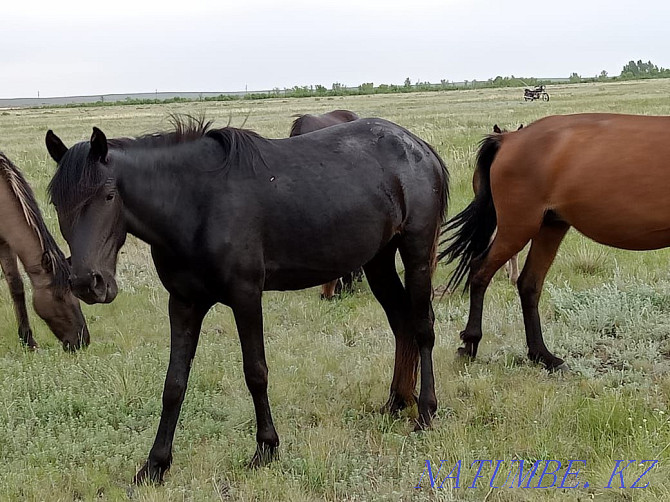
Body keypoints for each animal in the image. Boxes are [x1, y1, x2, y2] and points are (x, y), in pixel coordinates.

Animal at [440, 113, 670, 370]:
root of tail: (509, 139)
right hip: (518, 227)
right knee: (480, 271)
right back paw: (470, 343)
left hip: (550, 226)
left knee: (529, 284)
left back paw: (542, 355)